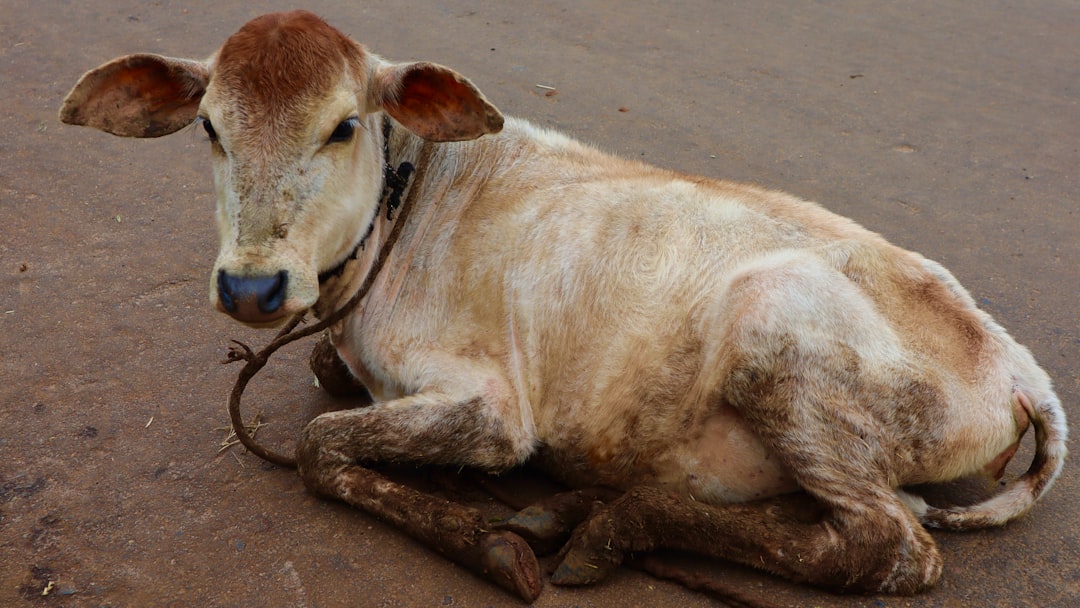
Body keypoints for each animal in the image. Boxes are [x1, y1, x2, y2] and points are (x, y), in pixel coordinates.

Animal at [60, 10, 1066, 602]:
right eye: (209, 128)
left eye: (342, 125)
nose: (251, 287)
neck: (408, 199)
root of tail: (1020, 372)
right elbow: (321, 375)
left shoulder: (494, 412)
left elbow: (316, 447)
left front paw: (490, 544)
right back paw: (578, 508)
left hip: (779, 339)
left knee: (888, 548)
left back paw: (606, 525)